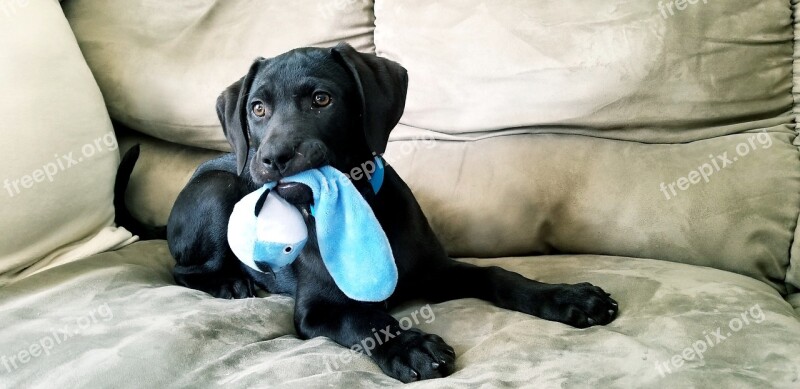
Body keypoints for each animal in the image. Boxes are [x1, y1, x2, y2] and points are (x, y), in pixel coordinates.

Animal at [119, 43, 620, 382]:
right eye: (257, 108)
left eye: (322, 99)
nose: (273, 157)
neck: (355, 210)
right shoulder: (319, 309)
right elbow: (366, 320)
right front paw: (409, 345)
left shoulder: (435, 270)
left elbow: (498, 275)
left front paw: (568, 297)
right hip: (221, 190)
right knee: (184, 269)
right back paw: (229, 282)